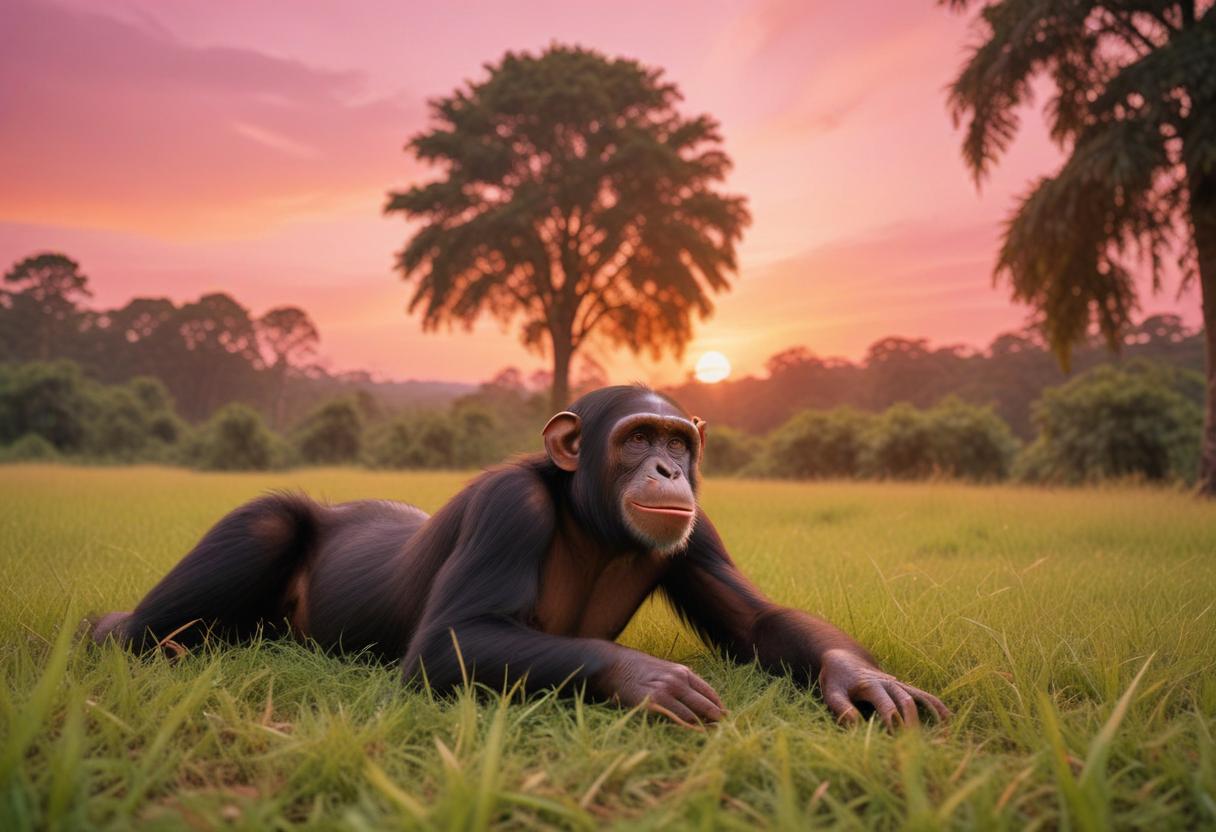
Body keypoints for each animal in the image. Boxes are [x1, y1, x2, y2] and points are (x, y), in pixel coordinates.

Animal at [92, 385, 948, 728]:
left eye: (679, 441)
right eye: (638, 436)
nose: (668, 469)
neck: (590, 519)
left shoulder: (698, 531)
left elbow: (760, 621)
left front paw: (860, 677)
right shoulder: (511, 507)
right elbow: (450, 640)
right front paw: (646, 678)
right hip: (267, 543)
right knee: (263, 525)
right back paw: (120, 632)